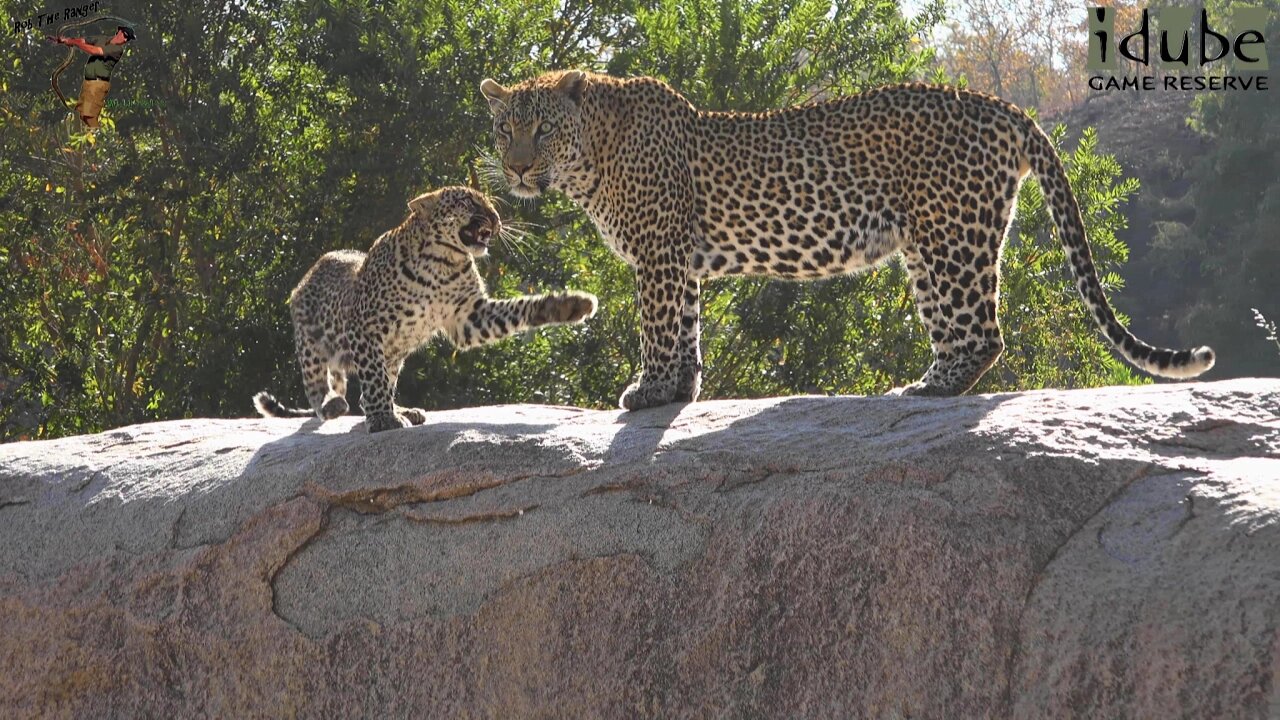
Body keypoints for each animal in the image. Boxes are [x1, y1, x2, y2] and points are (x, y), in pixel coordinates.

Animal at [478, 73, 1208, 412]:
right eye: (504, 129)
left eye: (543, 129)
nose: (516, 169)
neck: (591, 156)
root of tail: (1002, 104)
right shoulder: (678, 259)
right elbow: (684, 328)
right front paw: (680, 391)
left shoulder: (658, 253)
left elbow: (657, 327)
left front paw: (650, 391)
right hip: (935, 241)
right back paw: (929, 384)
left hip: (948, 235)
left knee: (981, 332)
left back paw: (930, 390)